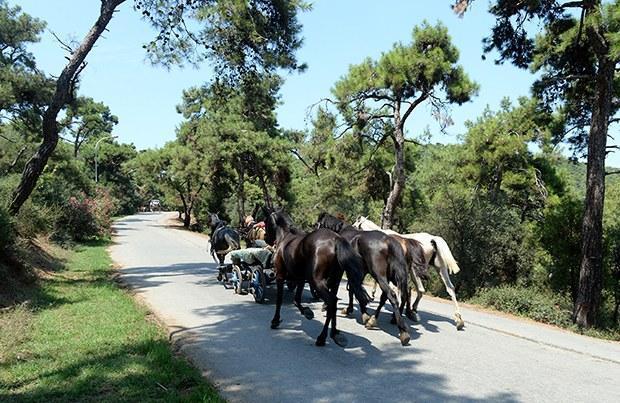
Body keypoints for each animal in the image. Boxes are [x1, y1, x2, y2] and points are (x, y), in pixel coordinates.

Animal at [264, 208, 370, 348]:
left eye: (265, 221)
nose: (266, 238)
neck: (286, 237)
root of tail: (335, 240)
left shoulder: (280, 276)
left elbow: (280, 300)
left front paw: (275, 321)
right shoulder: (300, 279)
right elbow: (296, 300)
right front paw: (307, 312)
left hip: (317, 282)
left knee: (332, 302)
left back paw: (322, 337)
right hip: (334, 282)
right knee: (333, 304)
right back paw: (335, 334)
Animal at [318, 213, 428, 346]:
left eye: (319, 223)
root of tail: (390, 241)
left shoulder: (343, 270)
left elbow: (347, 288)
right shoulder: (358, 272)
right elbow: (354, 289)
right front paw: (353, 309)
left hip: (380, 276)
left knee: (391, 295)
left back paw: (399, 329)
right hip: (395, 277)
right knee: (401, 294)